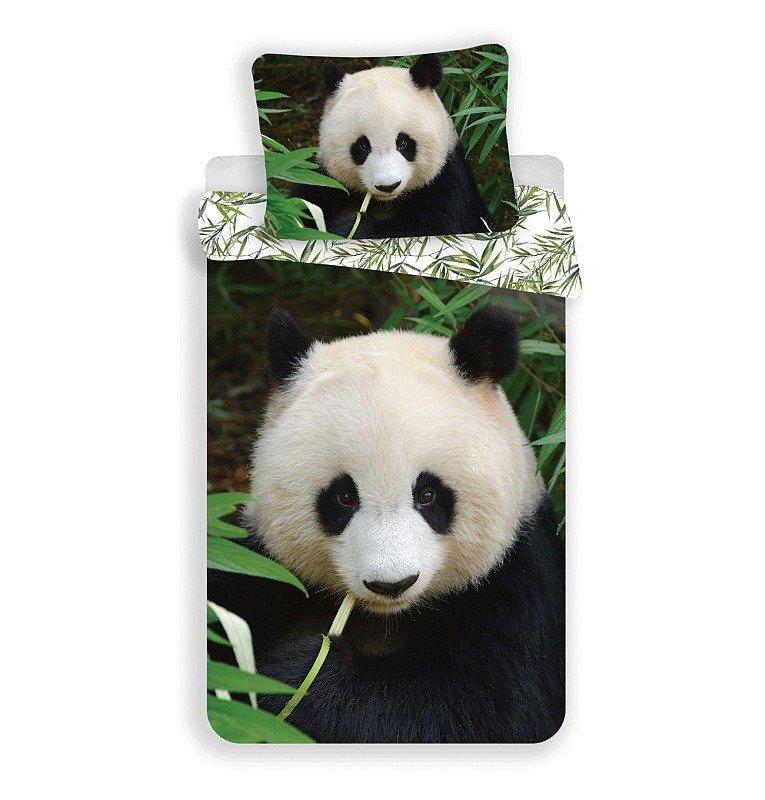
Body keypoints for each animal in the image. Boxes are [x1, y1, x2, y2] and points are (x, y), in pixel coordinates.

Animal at [208, 304, 565, 744]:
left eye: (428, 494)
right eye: (344, 496)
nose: (391, 584)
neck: (385, 616)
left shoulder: (517, 587)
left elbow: (478, 711)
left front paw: (299, 677)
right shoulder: (259, 565)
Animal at [291, 54, 493, 238]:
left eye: (403, 143)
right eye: (363, 146)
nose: (388, 186)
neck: (386, 202)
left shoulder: (448, 182)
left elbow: (437, 227)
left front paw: (351, 227)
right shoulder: (323, 179)